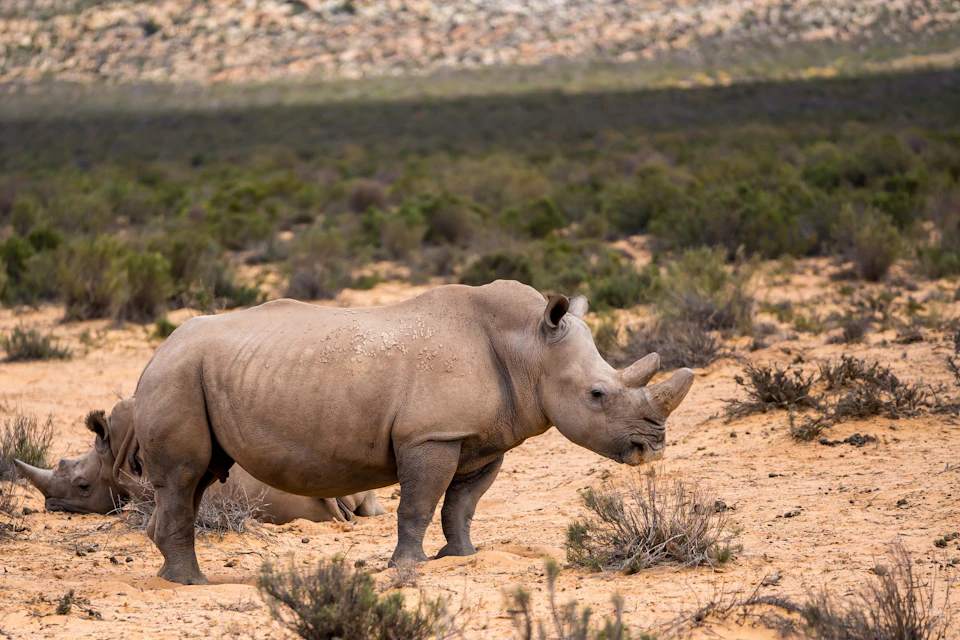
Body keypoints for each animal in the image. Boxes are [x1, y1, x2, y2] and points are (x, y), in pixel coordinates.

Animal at [96, 281, 693, 584]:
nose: (653, 447)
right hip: (176, 374)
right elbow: (418, 503)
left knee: (198, 480)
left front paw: (462, 557)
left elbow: (462, 505)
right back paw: (189, 584)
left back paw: (176, 574)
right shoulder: (430, 436)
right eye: (597, 395)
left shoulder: (480, 440)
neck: (528, 346)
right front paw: (407, 567)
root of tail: (156, 351)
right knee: (184, 478)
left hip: (195, 373)